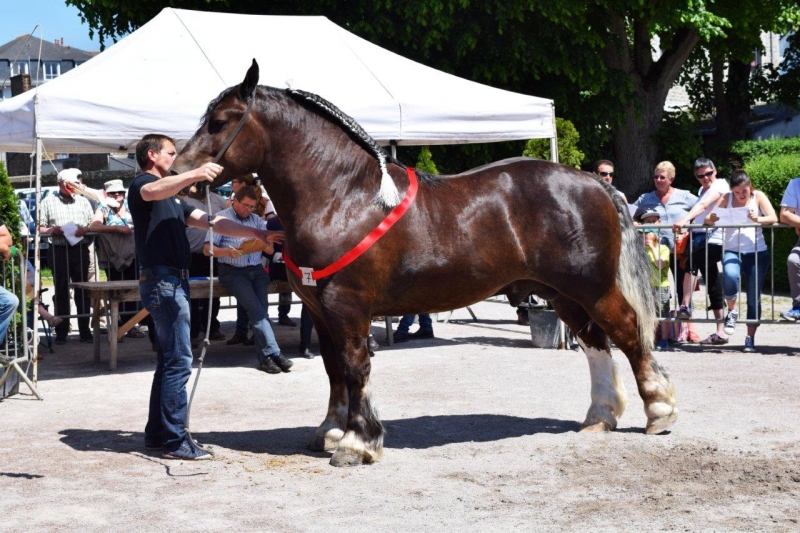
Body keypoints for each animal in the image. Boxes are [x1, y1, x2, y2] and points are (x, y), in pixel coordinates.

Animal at [173, 59, 676, 466]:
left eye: (220, 121)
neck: (341, 196)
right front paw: (331, 431)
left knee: (628, 333)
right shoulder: (319, 307)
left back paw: (659, 411)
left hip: (592, 288)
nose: (180, 174)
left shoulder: (347, 306)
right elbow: (334, 369)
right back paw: (599, 417)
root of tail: (596, 183)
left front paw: (357, 443)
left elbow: (355, 367)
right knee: (595, 342)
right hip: (561, 294)